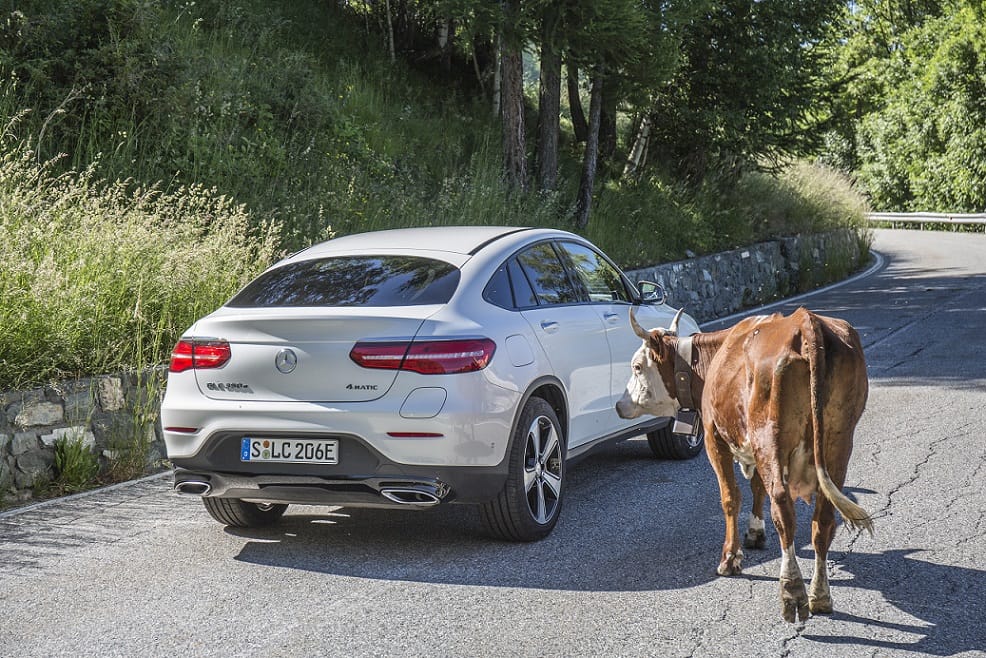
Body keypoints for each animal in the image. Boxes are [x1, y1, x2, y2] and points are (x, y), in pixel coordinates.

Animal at [620, 304, 872, 616]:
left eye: (637, 366)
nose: (619, 405)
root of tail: (805, 321)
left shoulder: (714, 438)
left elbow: (731, 498)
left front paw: (730, 558)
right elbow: (757, 489)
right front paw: (755, 533)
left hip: (770, 436)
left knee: (783, 508)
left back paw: (792, 590)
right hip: (838, 440)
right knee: (823, 517)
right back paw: (820, 595)